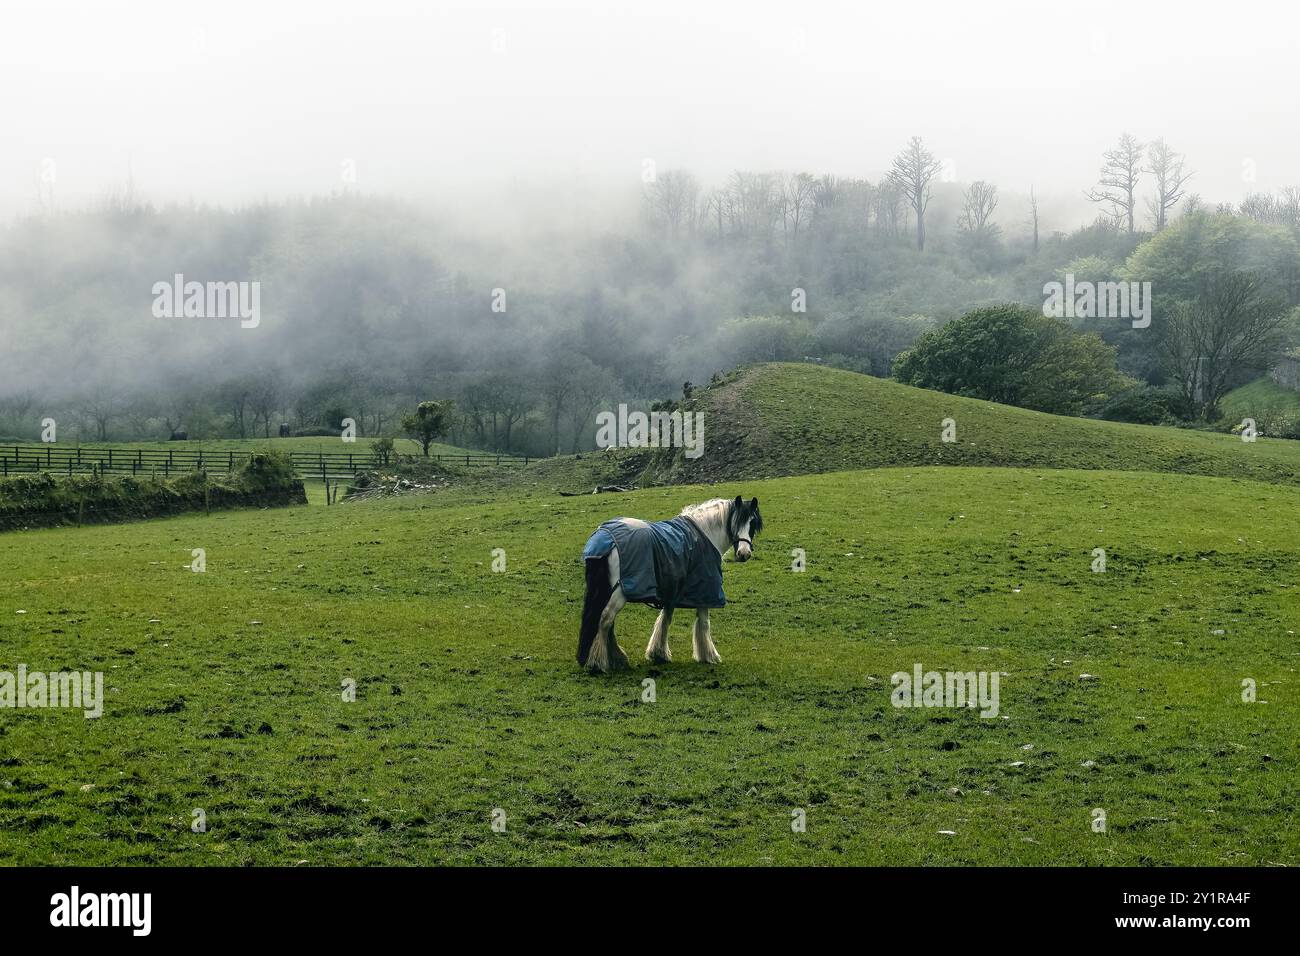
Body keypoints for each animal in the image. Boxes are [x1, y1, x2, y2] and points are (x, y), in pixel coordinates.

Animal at [579, 496, 759, 676]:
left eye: (752, 524)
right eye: (736, 522)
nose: (744, 554)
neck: (705, 534)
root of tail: (605, 537)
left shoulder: (672, 592)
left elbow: (665, 619)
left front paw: (658, 653)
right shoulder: (704, 594)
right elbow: (703, 623)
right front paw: (709, 656)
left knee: (607, 622)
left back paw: (615, 658)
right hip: (619, 593)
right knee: (605, 619)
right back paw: (598, 663)